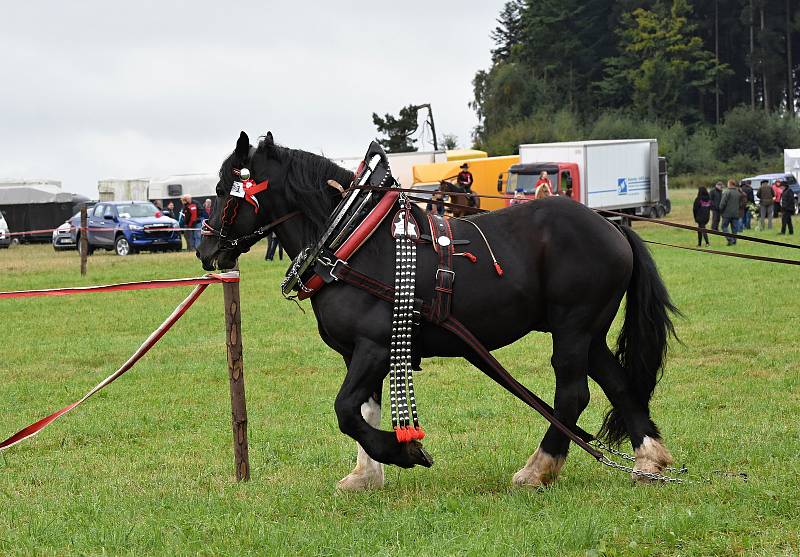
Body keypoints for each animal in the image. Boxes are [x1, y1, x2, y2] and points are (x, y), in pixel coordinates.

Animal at [197, 132, 680, 488]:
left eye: (223, 190)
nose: (205, 250)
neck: (353, 242)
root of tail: (612, 226)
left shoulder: (373, 346)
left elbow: (346, 410)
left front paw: (403, 451)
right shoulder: (361, 353)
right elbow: (364, 409)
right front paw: (365, 475)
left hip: (572, 328)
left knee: (572, 395)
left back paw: (537, 469)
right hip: (589, 332)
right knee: (619, 384)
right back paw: (648, 461)